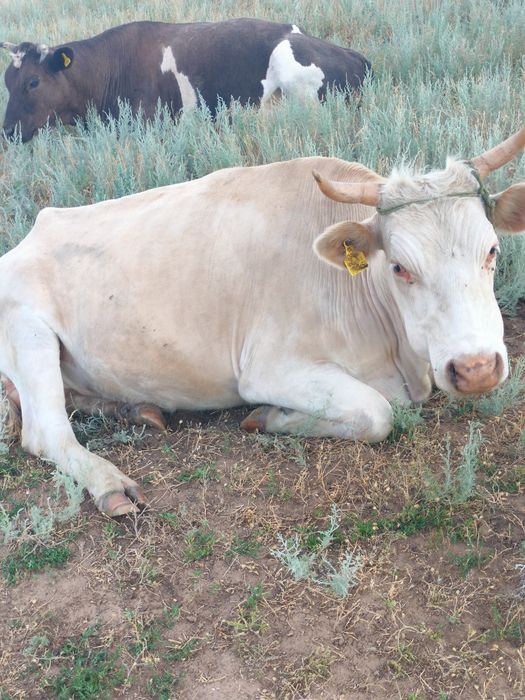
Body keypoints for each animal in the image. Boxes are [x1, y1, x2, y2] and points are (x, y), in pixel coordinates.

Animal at [1, 124, 525, 517]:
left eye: (492, 250)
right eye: (399, 267)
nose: (476, 368)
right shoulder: (269, 368)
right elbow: (377, 413)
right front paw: (271, 416)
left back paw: (135, 410)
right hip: (30, 334)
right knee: (46, 431)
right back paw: (110, 483)